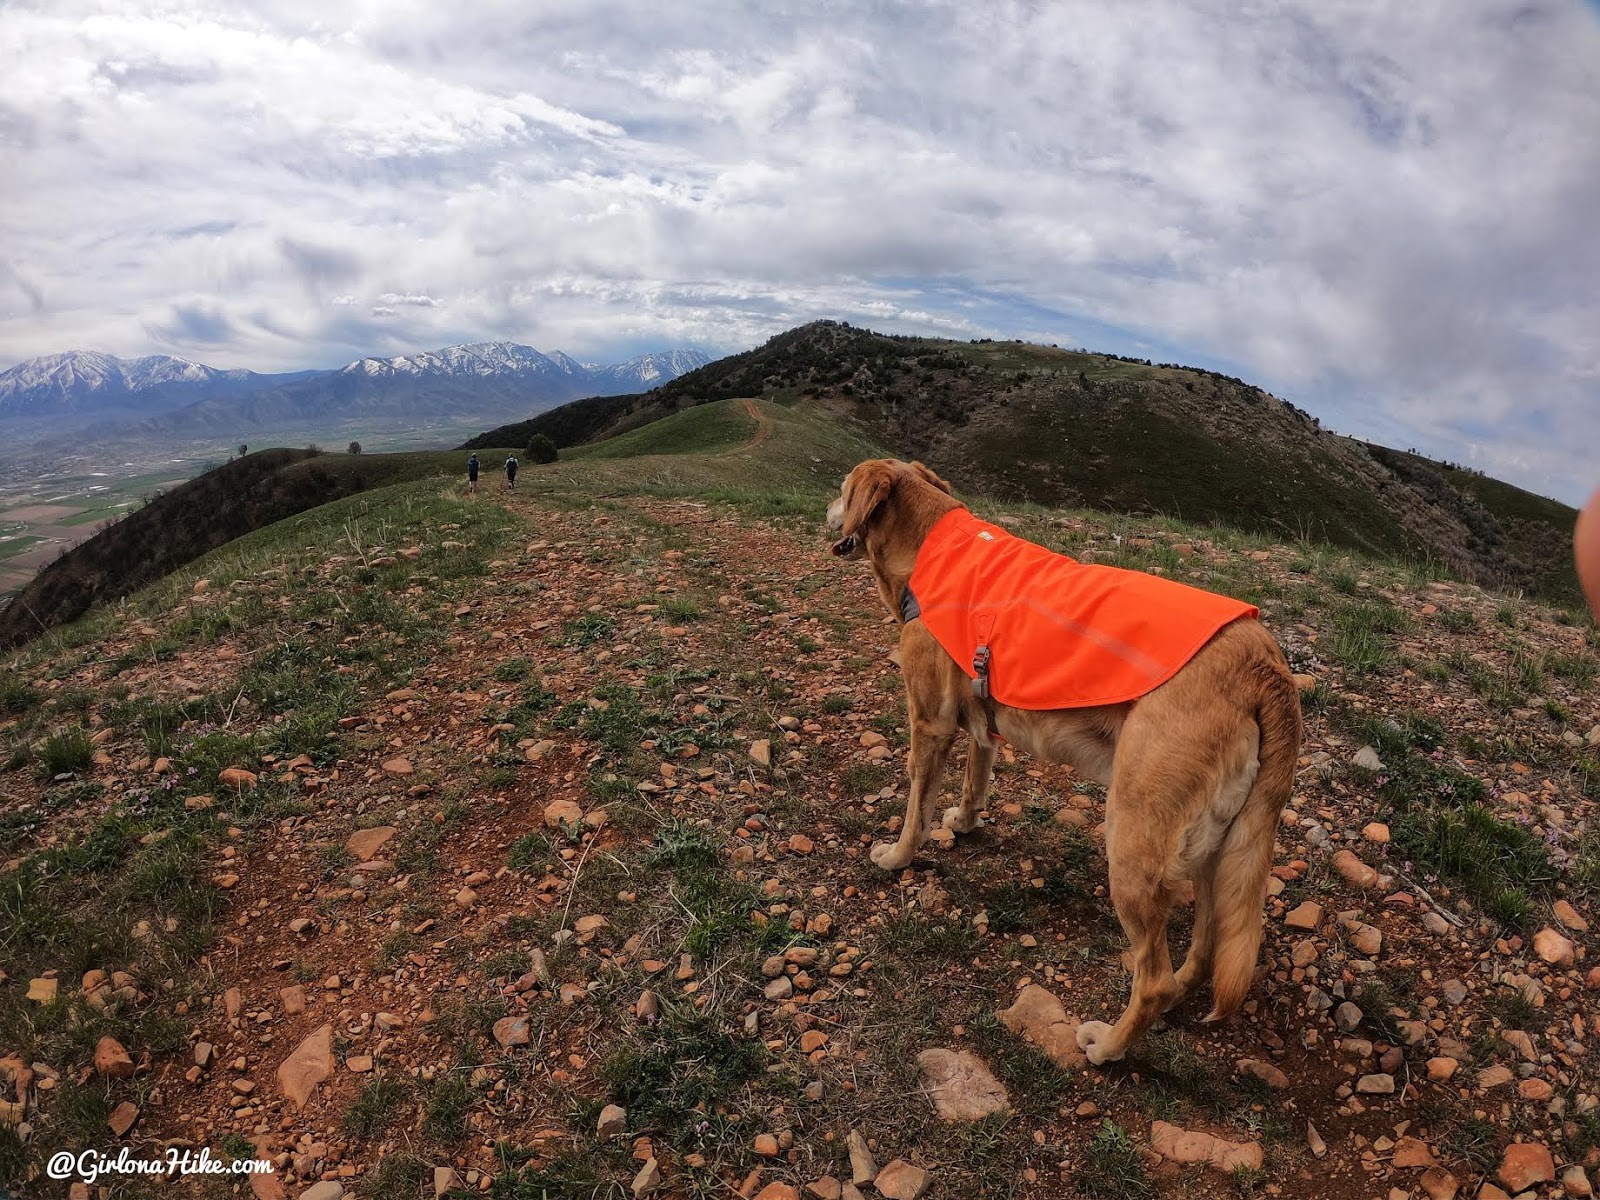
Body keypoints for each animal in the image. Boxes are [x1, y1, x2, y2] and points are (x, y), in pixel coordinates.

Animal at [825, 457, 1299, 1062]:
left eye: (842, 490)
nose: (825, 508)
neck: (930, 541)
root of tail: (1266, 666)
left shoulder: (929, 722)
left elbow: (916, 807)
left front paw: (897, 856)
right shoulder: (982, 720)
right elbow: (975, 777)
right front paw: (966, 821)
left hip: (1132, 835)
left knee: (1154, 979)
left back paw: (1108, 1046)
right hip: (1217, 841)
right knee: (1204, 948)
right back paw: (1179, 993)